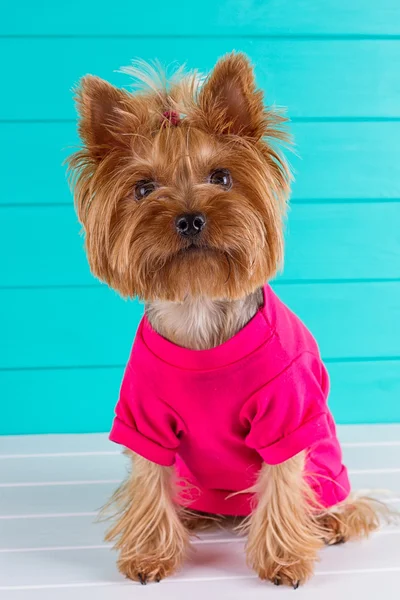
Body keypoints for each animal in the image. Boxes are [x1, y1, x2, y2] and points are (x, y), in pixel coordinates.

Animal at [68, 51, 384, 584]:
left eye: (220, 177)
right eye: (144, 188)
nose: (191, 218)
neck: (200, 303)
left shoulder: (287, 414)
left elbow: (282, 480)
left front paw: (284, 560)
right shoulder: (143, 418)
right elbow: (149, 478)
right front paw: (150, 554)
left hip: (328, 465)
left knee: (331, 495)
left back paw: (333, 520)